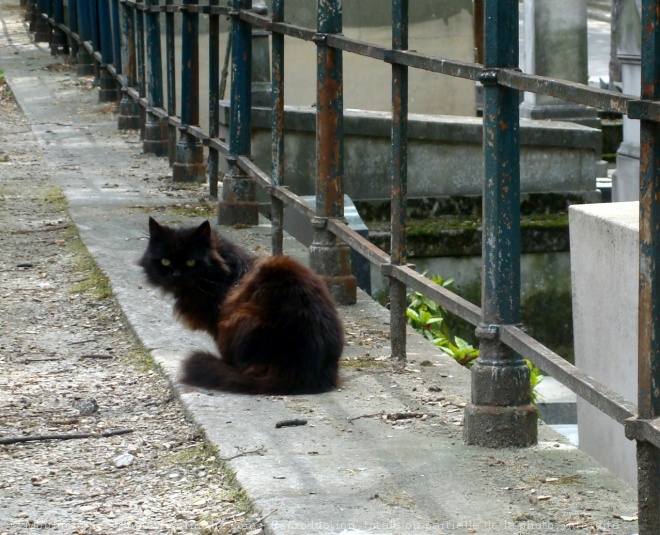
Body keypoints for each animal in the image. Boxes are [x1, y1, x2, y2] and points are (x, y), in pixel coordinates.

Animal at [139, 216, 346, 396]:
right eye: (165, 261)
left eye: (190, 262)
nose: (176, 275)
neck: (224, 273)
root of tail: (302, 371)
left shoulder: (219, 322)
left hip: (243, 317)